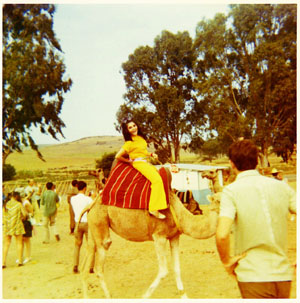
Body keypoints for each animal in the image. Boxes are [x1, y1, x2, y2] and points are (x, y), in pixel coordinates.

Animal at [78, 170, 219, 300]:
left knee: (87, 261)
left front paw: (184, 297)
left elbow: (177, 268)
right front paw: (144, 296)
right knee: (99, 265)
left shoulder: (174, 236)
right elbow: (163, 271)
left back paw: (85, 296)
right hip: (100, 224)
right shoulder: (159, 236)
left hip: (93, 226)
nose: (204, 174)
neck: (178, 213)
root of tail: (91, 205)